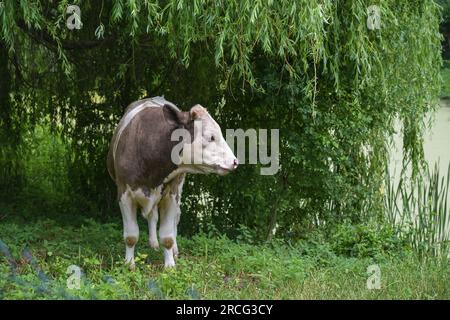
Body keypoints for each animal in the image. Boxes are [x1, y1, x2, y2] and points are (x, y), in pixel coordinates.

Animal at [107, 97, 239, 268]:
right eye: (211, 137)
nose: (235, 162)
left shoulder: (171, 194)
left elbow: (168, 236)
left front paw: (170, 265)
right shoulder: (124, 194)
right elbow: (131, 236)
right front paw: (129, 264)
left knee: (175, 216)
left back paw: (173, 250)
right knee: (153, 216)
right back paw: (153, 243)